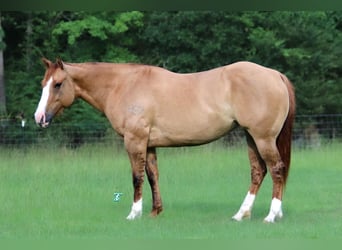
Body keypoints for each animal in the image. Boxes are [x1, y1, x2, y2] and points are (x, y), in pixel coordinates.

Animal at [35, 58, 296, 223]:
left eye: (58, 84)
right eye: (43, 84)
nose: (39, 118)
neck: (123, 85)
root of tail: (275, 75)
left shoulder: (134, 141)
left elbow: (137, 177)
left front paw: (134, 214)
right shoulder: (149, 144)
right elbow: (152, 176)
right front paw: (155, 212)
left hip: (263, 138)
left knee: (276, 169)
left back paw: (271, 216)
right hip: (251, 137)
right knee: (258, 172)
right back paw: (241, 215)